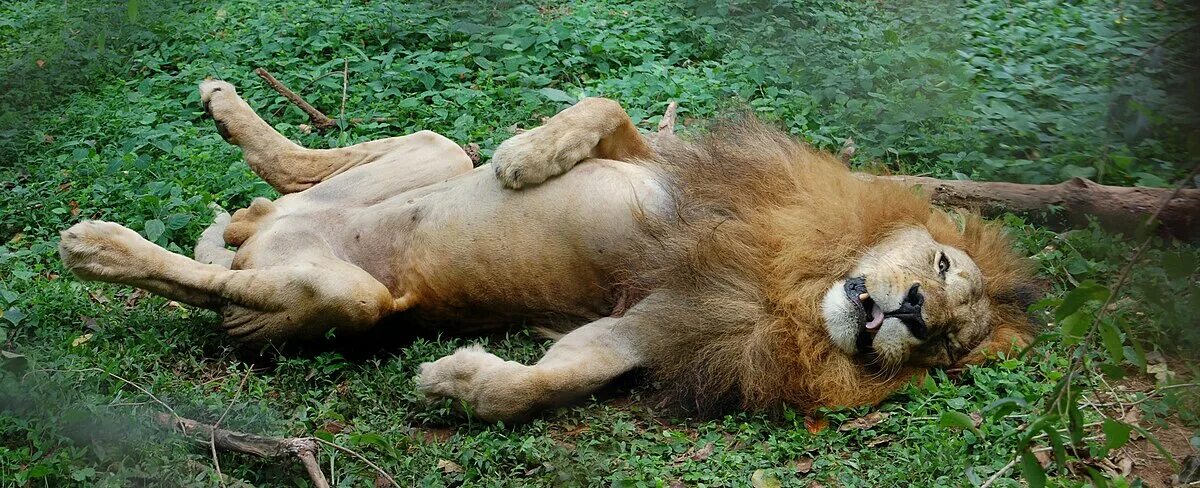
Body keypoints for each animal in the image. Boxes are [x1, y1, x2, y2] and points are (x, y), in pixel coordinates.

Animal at [56, 79, 1036, 419]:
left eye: (946, 346)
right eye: (943, 269)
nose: (913, 314)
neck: (790, 290)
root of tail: (259, 244)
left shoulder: (649, 325)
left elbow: (558, 378)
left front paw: (463, 383)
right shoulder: (665, 175)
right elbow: (604, 111)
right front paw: (528, 156)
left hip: (342, 299)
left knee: (218, 273)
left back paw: (105, 248)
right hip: (427, 157)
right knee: (304, 166)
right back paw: (221, 112)